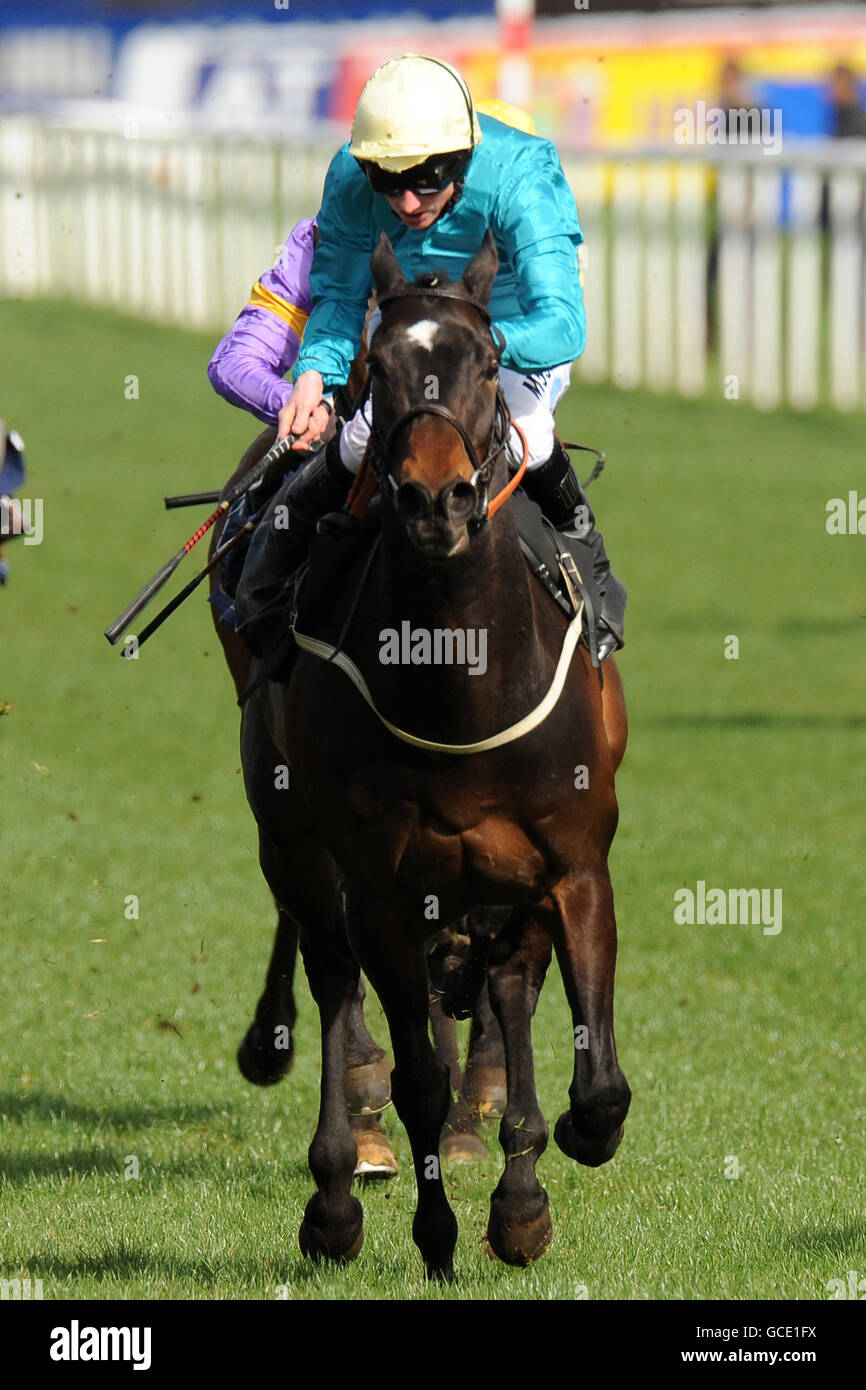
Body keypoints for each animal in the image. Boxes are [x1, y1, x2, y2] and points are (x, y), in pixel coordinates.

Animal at [237, 230, 631, 1278]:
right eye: (376, 369)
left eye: (489, 364)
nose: (434, 499)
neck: (458, 683)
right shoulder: (380, 888)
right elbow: (416, 1072)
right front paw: (437, 1232)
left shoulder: (569, 868)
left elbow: (595, 1084)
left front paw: (532, 1188)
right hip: (296, 846)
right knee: (333, 984)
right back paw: (337, 1191)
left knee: (499, 994)